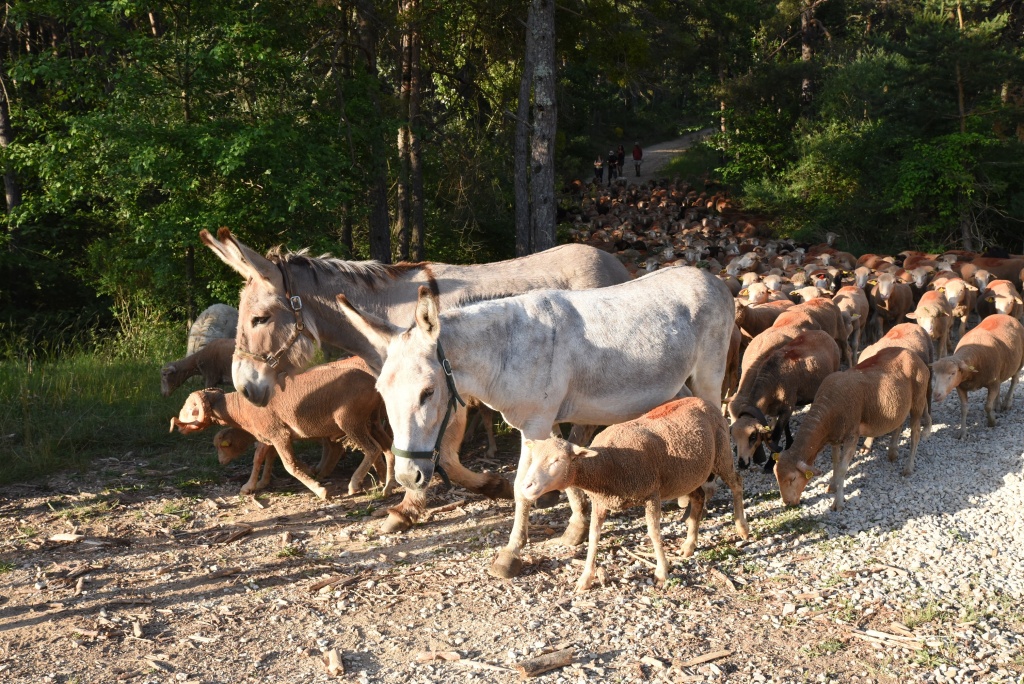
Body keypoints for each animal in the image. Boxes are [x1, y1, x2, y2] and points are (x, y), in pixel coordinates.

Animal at [169, 358, 393, 497]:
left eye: (190, 408)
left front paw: (320, 490)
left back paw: (355, 484)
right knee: (388, 449)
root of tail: (373, 383)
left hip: (350, 421)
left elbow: (289, 465)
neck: (240, 408)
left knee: (372, 449)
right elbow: (259, 457)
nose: (177, 427)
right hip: (372, 421)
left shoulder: (279, 435)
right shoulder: (268, 435)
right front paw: (251, 486)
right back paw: (388, 485)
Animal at [516, 397, 749, 589]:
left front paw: (662, 572)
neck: (607, 464)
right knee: (699, 498)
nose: (526, 486)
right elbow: (593, 536)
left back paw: (742, 528)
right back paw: (689, 546)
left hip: (722, 454)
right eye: (534, 458)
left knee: (737, 482)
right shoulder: (600, 502)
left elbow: (654, 533)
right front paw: (585, 578)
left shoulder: (652, 494)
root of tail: (705, 401)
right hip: (688, 475)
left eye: (558, 460)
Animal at [729, 329, 839, 471]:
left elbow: (776, 435)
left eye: (753, 436)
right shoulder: (782, 409)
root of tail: (823, 332)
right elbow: (785, 427)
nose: (742, 464)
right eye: (734, 437)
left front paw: (770, 464)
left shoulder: (788, 406)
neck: (770, 382)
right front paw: (789, 443)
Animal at [770, 350, 933, 509]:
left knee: (915, 433)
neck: (828, 409)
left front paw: (838, 503)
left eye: (792, 478)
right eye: (776, 476)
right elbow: (835, 462)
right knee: (898, 424)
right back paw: (892, 452)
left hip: (918, 401)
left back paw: (908, 467)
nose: (787, 503)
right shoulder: (835, 437)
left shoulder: (851, 436)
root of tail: (914, 355)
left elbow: (843, 468)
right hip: (899, 404)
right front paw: (832, 486)